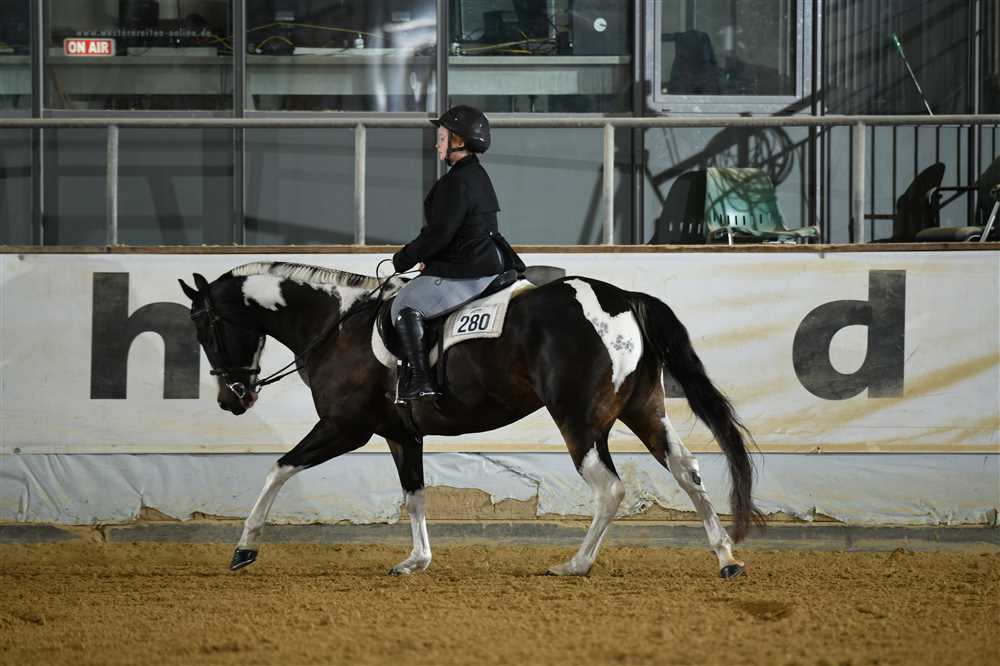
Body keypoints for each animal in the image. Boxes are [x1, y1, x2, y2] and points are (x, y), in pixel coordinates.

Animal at [179, 261, 764, 579]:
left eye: (206, 327)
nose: (232, 399)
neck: (336, 324)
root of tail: (622, 297)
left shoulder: (346, 427)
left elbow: (278, 468)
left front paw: (245, 547)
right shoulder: (401, 434)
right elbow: (414, 494)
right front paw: (415, 561)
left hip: (578, 419)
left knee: (610, 489)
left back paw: (575, 565)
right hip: (644, 409)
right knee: (687, 471)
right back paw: (726, 557)